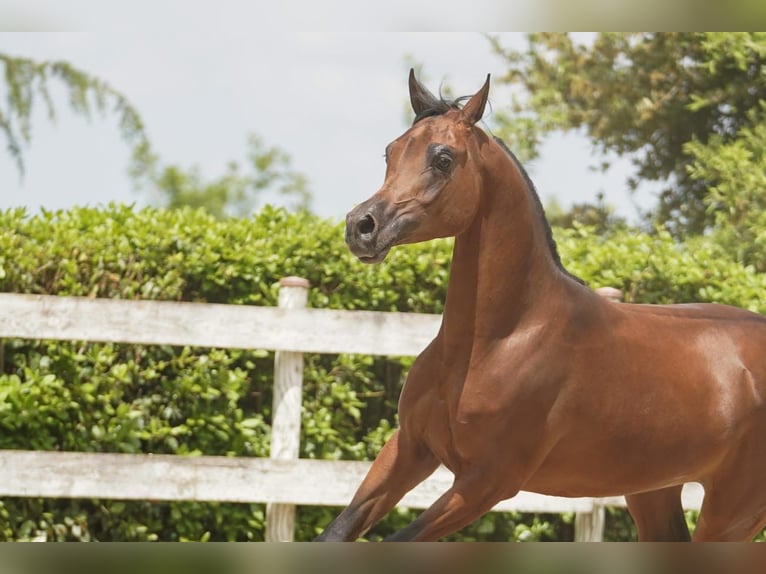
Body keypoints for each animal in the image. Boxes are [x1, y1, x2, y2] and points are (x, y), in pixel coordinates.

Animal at [315, 70, 766, 541]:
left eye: (443, 159)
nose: (362, 226)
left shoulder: (486, 483)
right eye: (391, 151)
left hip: (732, 514)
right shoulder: (409, 448)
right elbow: (335, 534)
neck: (500, 340)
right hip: (653, 490)